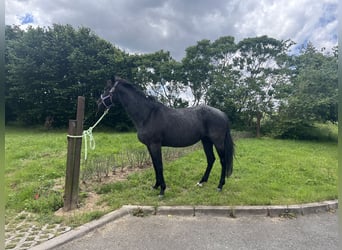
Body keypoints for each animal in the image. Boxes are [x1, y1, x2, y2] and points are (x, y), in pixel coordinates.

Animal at [97, 77, 234, 196]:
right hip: (206, 141)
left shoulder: (155, 145)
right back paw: (201, 182)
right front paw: (155, 186)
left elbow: (159, 165)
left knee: (222, 161)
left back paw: (220, 186)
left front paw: (162, 190)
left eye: (107, 88)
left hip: (218, 142)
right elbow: (155, 165)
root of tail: (222, 114)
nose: (98, 103)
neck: (148, 115)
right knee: (211, 159)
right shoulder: (149, 146)